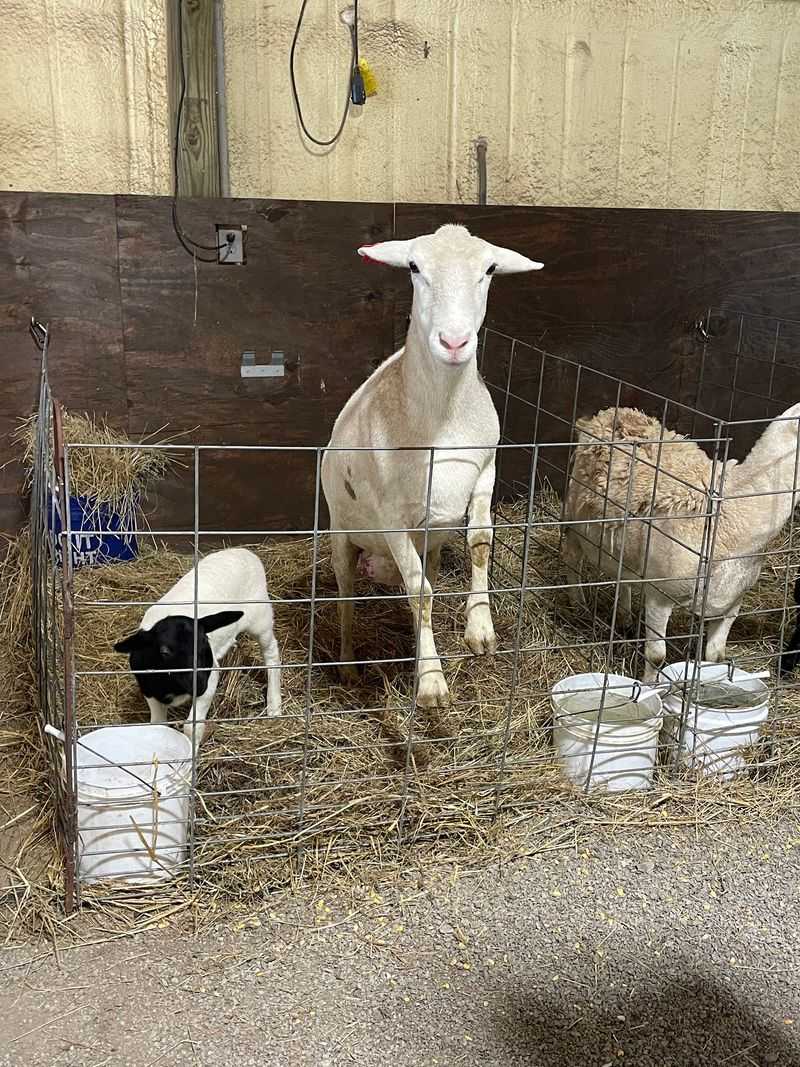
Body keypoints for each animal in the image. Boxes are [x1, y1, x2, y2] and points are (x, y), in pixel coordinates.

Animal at [114, 547, 281, 745]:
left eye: (203, 644)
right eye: (165, 651)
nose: (200, 684)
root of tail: (245, 552)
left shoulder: (210, 677)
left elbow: (191, 727)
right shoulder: (148, 689)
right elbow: (157, 724)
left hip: (260, 619)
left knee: (271, 654)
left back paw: (274, 705)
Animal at [321, 223, 543, 707]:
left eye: (490, 269)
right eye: (414, 267)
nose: (454, 342)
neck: (443, 419)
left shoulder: (486, 469)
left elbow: (479, 544)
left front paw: (480, 629)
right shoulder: (390, 514)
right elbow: (418, 593)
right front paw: (432, 681)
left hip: (430, 543)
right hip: (341, 536)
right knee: (347, 598)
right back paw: (348, 666)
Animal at [562, 402, 800, 682]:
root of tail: (612, 412)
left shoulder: (733, 602)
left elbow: (714, 656)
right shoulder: (660, 596)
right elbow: (656, 656)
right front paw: (648, 687)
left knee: (623, 577)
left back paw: (624, 618)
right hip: (573, 515)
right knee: (572, 558)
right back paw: (578, 606)